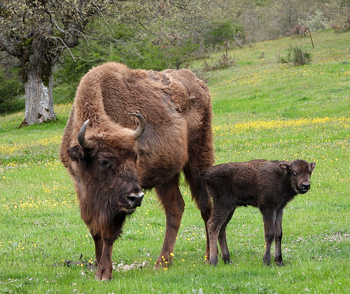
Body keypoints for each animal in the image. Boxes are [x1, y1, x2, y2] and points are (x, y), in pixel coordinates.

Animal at [59, 62, 213, 280]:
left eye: (135, 157)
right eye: (103, 162)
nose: (136, 197)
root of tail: (198, 83)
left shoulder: (116, 206)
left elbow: (109, 234)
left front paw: (104, 273)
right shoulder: (85, 193)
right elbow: (95, 231)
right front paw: (97, 266)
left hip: (199, 158)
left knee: (205, 206)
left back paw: (209, 256)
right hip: (167, 176)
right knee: (175, 208)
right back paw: (162, 263)